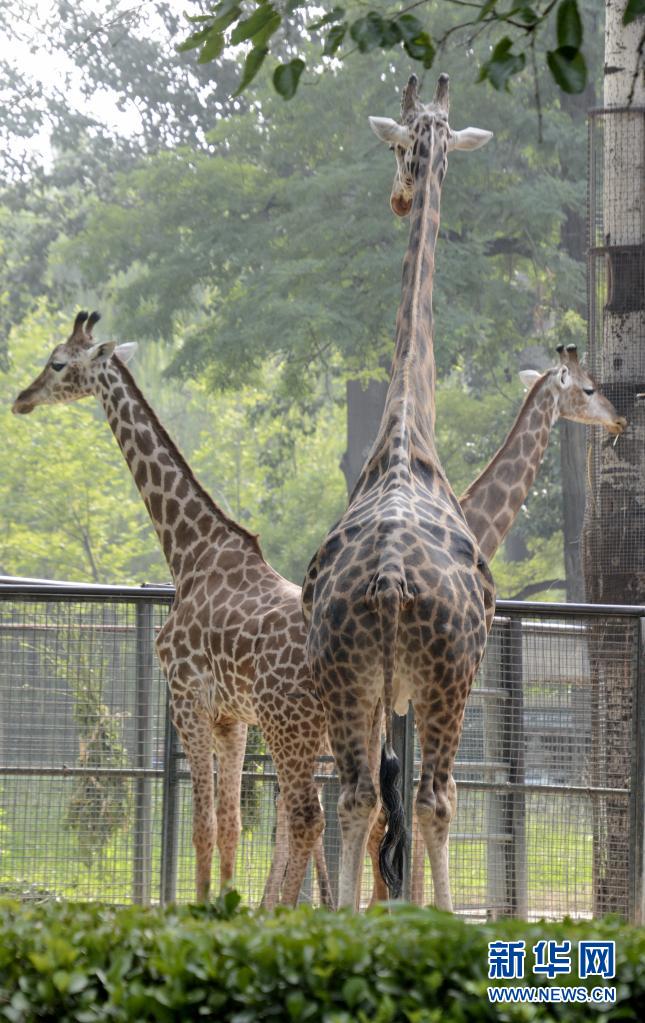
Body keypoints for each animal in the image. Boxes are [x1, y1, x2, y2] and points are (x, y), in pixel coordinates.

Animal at [11, 308, 333, 904]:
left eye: (58, 362)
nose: (22, 397)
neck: (189, 552)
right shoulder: (232, 717)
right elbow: (229, 826)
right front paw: (226, 903)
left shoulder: (187, 697)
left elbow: (201, 825)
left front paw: (201, 907)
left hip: (290, 724)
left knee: (307, 815)